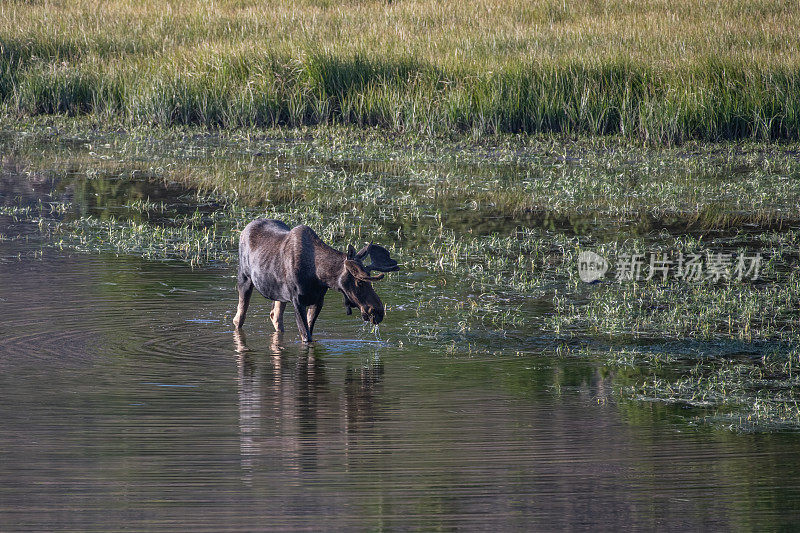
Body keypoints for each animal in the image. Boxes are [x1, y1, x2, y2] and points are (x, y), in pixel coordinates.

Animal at [233, 219, 398, 340]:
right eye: (360, 281)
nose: (378, 312)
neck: (319, 276)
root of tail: (245, 228)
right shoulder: (297, 301)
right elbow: (306, 336)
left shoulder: (318, 300)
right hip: (244, 278)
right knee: (239, 317)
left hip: (279, 295)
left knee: (275, 316)